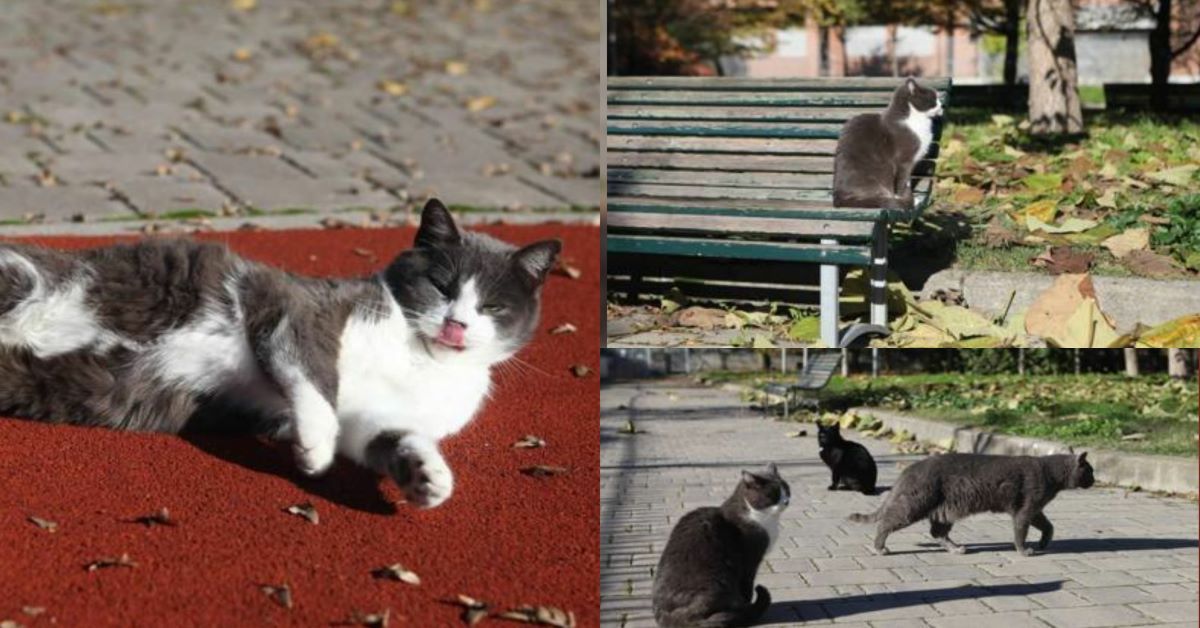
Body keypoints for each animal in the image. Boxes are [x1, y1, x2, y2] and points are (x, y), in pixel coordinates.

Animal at [0, 201, 561, 511]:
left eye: (491, 306)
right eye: (442, 286)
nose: (455, 323)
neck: (421, 359)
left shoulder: (375, 417)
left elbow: (387, 437)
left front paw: (429, 479)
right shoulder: (301, 308)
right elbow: (313, 375)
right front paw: (314, 446)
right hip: (25, 280)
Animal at [652, 461, 792, 628]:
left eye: (786, 490)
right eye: (774, 494)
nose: (786, 501)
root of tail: (664, 616)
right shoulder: (749, 560)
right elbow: (747, 587)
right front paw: (748, 604)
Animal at [830, 76, 940, 211]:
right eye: (933, 99)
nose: (941, 105)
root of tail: (837, 199)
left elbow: (907, 181)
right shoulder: (904, 160)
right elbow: (902, 180)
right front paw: (904, 198)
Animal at [844, 451, 1099, 554]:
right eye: (1090, 470)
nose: (1096, 480)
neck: (1051, 474)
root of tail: (909, 469)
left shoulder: (1035, 509)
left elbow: (1049, 526)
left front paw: (1044, 543)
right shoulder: (1026, 509)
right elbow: (1021, 532)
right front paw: (1023, 550)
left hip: (945, 511)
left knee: (937, 533)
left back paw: (956, 548)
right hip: (915, 505)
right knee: (885, 523)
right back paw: (880, 547)